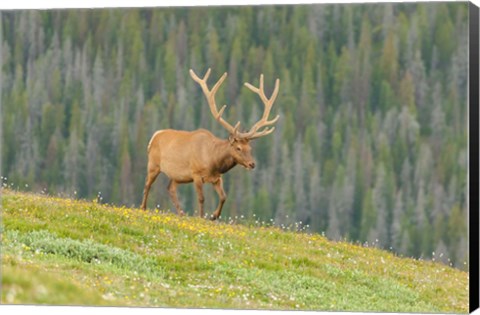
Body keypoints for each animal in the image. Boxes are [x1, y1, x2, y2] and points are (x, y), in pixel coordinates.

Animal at [141, 68, 280, 222]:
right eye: (238, 148)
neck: (213, 161)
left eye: (250, 148)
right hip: (153, 165)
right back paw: (143, 208)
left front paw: (214, 216)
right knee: (147, 184)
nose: (252, 164)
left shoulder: (217, 178)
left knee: (170, 188)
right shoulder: (196, 174)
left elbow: (224, 197)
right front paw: (202, 217)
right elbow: (201, 198)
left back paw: (181, 213)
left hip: (178, 176)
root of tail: (154, 136)